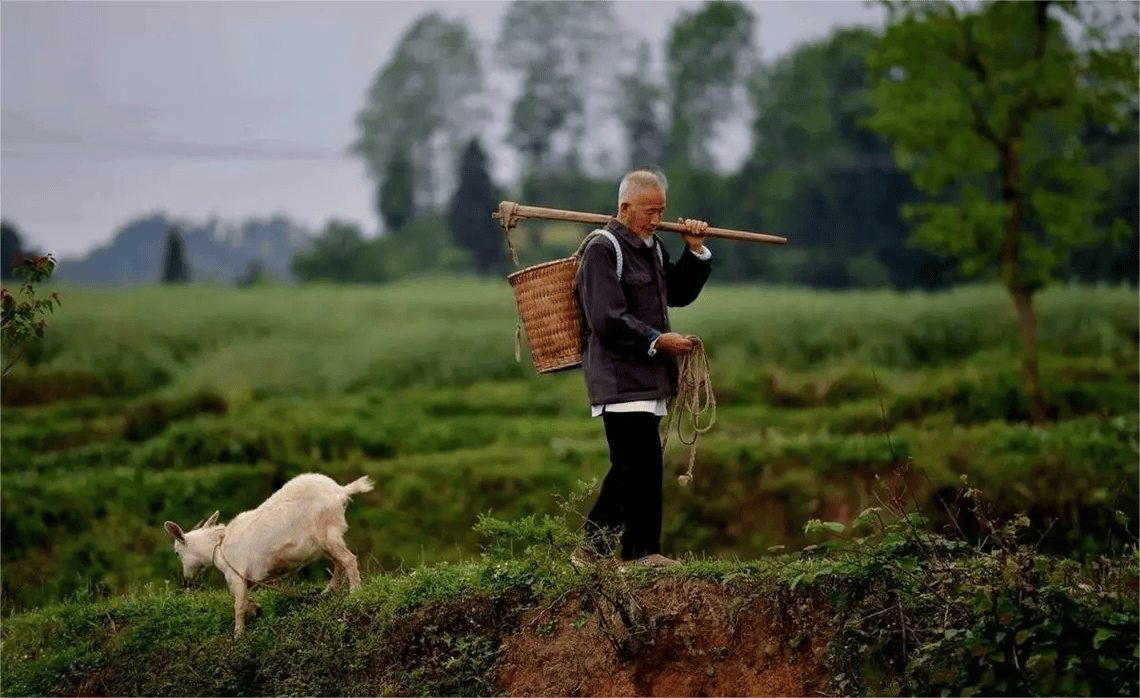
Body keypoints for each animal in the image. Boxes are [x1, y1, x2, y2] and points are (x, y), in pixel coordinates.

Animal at [163, 472, 373, 634]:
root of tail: (340, 491)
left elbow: (238, 606)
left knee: (348, 559)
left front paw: (238, 635)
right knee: (339, 562)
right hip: (326, 540)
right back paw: (327, 592)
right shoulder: (244, 579)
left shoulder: (236, 576)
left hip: (327, 533)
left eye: (176, 552)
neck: (219, 547)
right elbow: (245, 601)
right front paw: (256, 610)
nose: (187, 579)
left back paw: (355, 593)